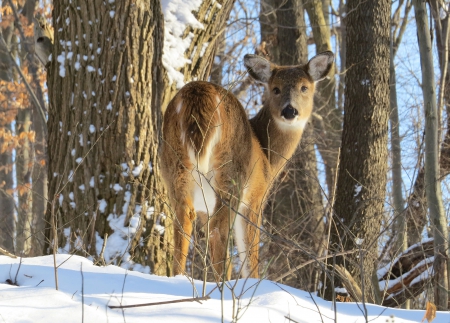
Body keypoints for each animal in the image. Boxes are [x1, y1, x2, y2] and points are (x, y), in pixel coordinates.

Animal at [161, 51, 334, 280]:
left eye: (304, 87)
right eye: (275, 88)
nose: (290, 111)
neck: (266, 154)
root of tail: (198, 95)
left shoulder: (204, 207)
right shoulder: (255, 198)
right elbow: (249, 254)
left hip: (175, 168)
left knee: (183, 221)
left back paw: (178, 278)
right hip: (232, 173)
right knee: (218, 230)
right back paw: (220, 284)